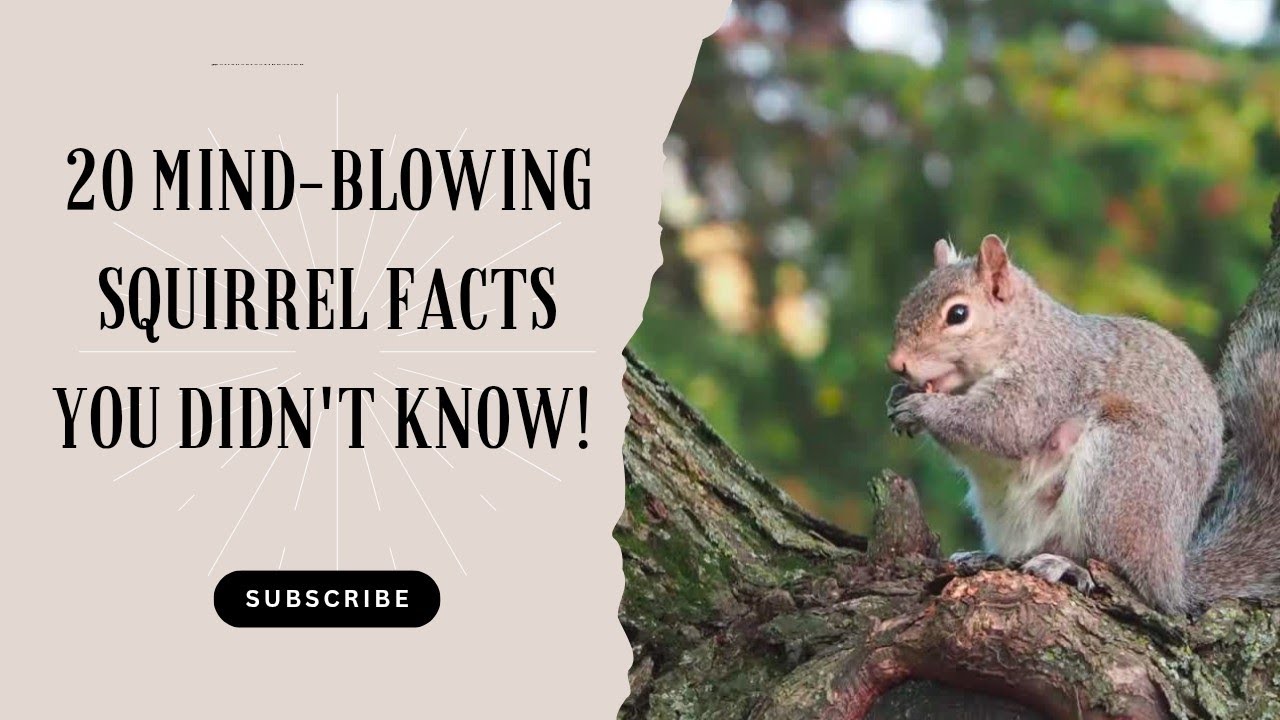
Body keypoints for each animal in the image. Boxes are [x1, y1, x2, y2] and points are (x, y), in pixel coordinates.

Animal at [885, 232, 1280, 613]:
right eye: (909, 299)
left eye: (958, 314)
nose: (897, 363)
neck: (1023, 334)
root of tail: (1171, 574)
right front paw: (898, 396)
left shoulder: (1049, 381)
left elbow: (1006, 426)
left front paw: (923, 407)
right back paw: (988, 556)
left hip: (1119, 475)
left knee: (1117, 568)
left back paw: (1069, 567)